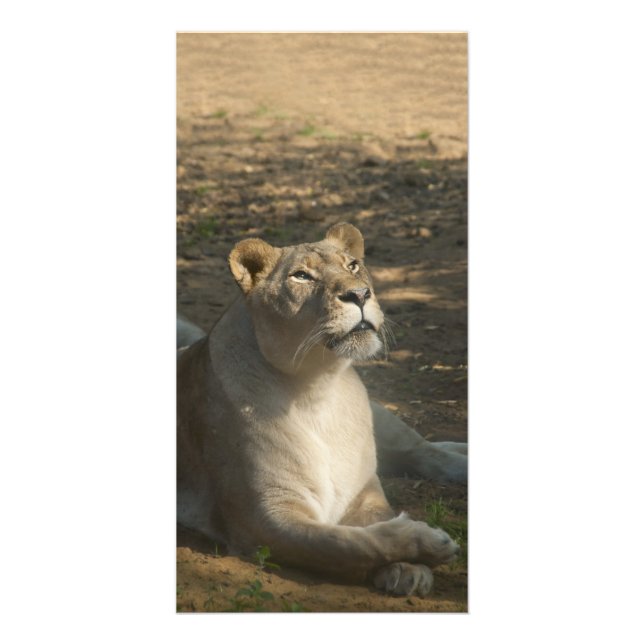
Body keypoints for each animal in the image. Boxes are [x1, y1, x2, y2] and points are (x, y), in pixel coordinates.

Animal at [177, 223, 466, 597]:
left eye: (353, 265)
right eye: (302, 276)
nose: (359, 294)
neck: (317, 390)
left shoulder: (364, 492)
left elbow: (374, 524)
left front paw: (409, 567)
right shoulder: (265, 519)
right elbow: (348, 543)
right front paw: (428, 544)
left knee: (425, 450)